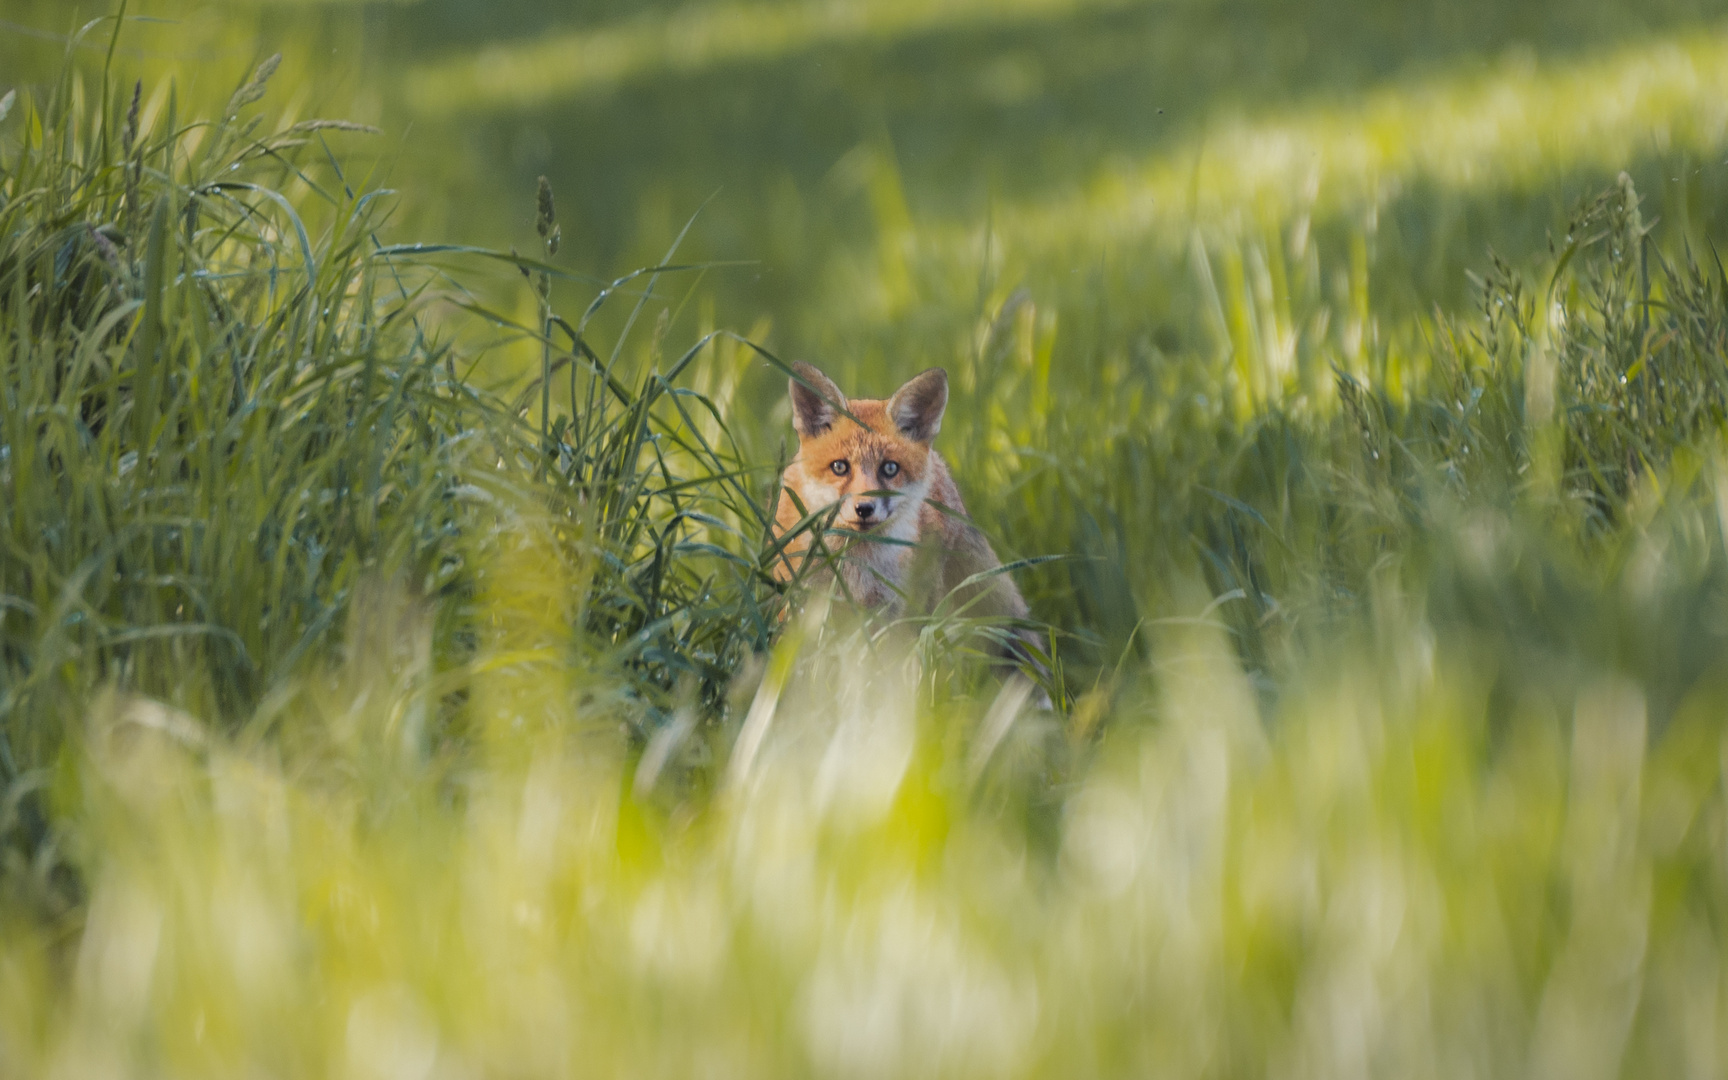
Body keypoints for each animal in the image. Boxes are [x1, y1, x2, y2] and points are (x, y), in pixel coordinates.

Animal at [774, 357, 1043, 687]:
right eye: (839, 467)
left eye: (889, 468)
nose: (864, 508)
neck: (854, 566)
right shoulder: (800, 604)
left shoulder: (888, 613)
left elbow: (876, 675)